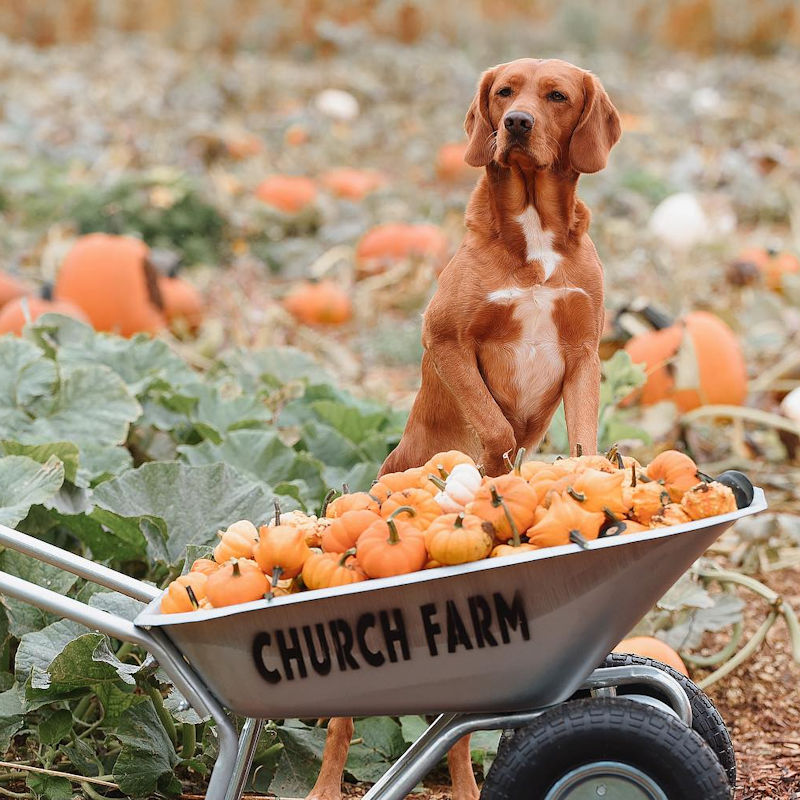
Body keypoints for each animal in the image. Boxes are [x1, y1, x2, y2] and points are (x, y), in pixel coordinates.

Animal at [306, 59, 620, 800]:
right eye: (505, 92)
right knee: (347, 725)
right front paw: (497, 489)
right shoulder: (448, 342)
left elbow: (581, 439)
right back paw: (327, 787)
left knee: (455, 732)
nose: (517, 125)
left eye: (556, 95)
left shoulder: (584, 356)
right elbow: (497, 431)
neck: (535, 238)